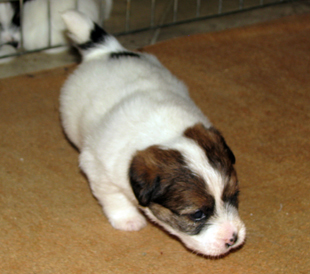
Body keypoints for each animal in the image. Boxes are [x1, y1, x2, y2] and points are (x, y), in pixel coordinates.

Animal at [59, 10, 246, 256]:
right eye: (197, 214)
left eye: (234, 196)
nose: (233, 238)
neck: (167, 136)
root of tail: (107, 50)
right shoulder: (98, 169)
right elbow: (113, 197)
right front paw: (128, 220)